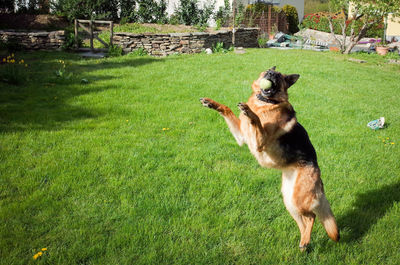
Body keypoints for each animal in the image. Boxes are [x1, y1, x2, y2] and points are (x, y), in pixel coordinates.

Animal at [198, 66, 340, 250]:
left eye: (279, 77)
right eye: (268, 71)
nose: (271, 74)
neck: (265, 103)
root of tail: (319, 177)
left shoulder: (260, 143)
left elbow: (256, 121)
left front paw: (250, 112)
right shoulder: (242, 137)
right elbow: (227, 108)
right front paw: (211, 103)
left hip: (297, 199)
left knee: (311, 217)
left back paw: (305, 241)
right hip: (289, 201)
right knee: (303, 221)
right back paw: (304, 242)